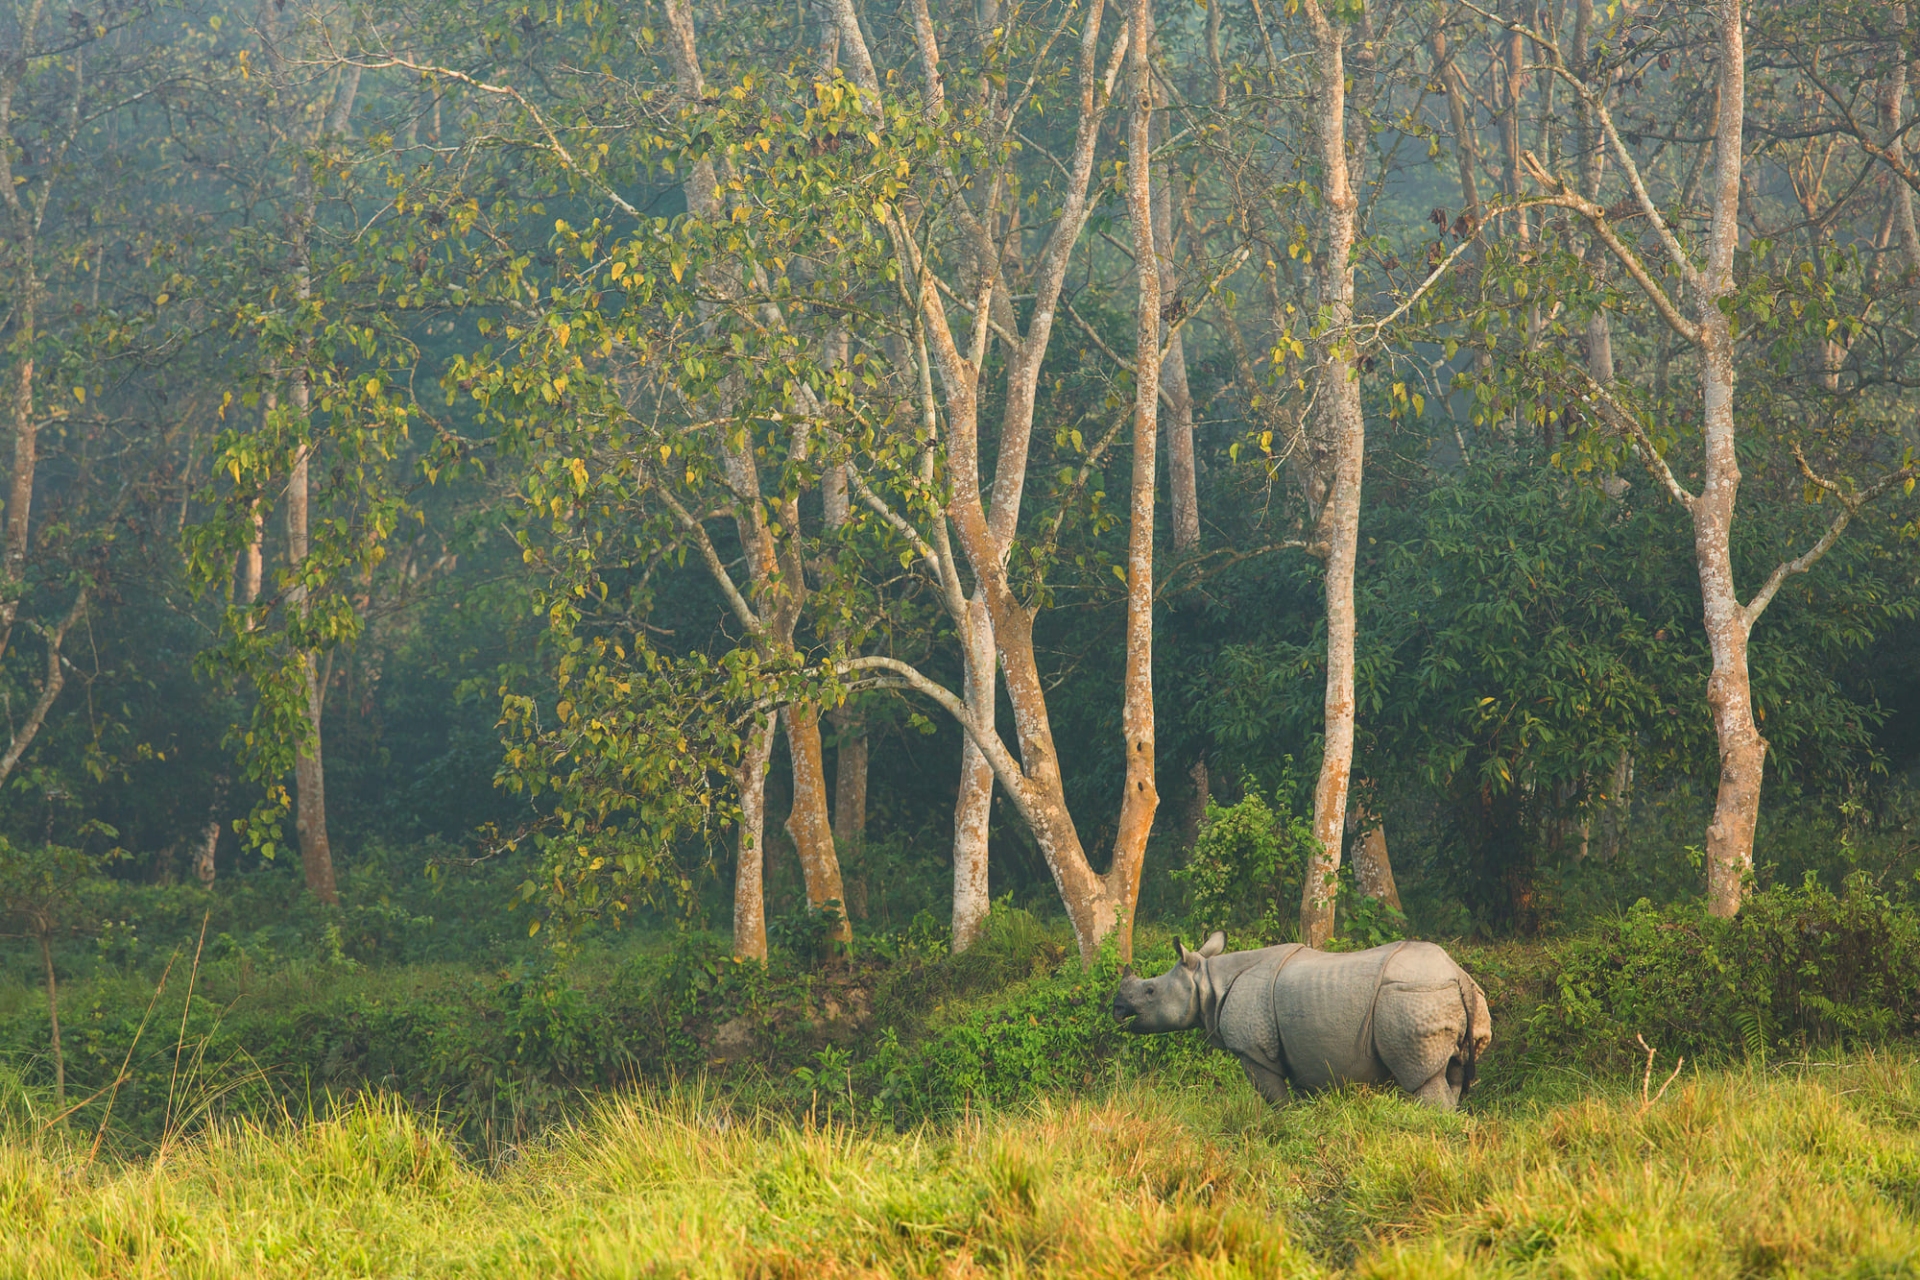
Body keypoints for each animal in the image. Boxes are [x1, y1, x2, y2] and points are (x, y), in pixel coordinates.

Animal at [1111, 932, 1492, 1109]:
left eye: (1149, 991)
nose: (1116, 1007)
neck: (1207, 979)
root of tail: (1458, 974)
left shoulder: (1253, 1051)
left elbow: (1274, 1097)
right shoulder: (1304, 1052)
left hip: (1411, 996)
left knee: (1422, 1078)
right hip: (1452, 997)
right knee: (1452, 1075)